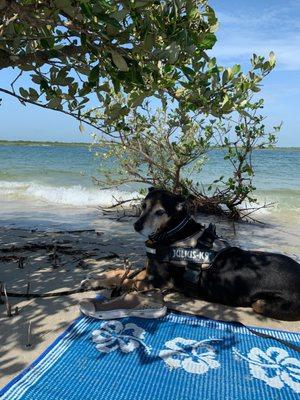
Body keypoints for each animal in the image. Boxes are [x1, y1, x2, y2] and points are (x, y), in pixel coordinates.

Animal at [132, 188, 300, 322]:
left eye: (160, 212)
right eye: (143, 205)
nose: (136, 226)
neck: (174, 230)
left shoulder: (155, 281)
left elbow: (134, 281)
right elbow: (136, 273)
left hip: (260, 304)